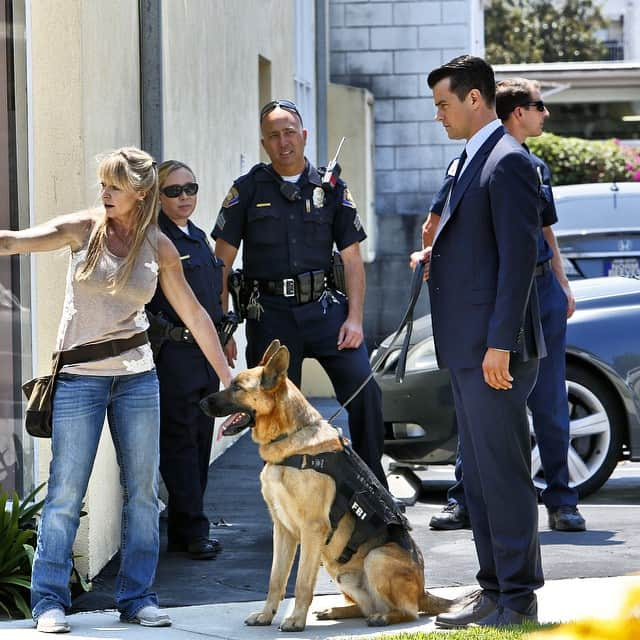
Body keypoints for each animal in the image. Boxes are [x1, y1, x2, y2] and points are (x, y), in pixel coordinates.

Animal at [202, 340, 452, 632]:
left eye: (237, 387)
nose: (200, 402)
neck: (291, 439)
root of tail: (424, 592)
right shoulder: (282, 529)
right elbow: (276, 579)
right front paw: (266, 615)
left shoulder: (312, 530)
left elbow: (301, 583)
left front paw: (295, 620)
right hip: (338, 569)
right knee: (366, 606)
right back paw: (336, 610)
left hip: (375, 557)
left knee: (407, 612)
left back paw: (383, 617)